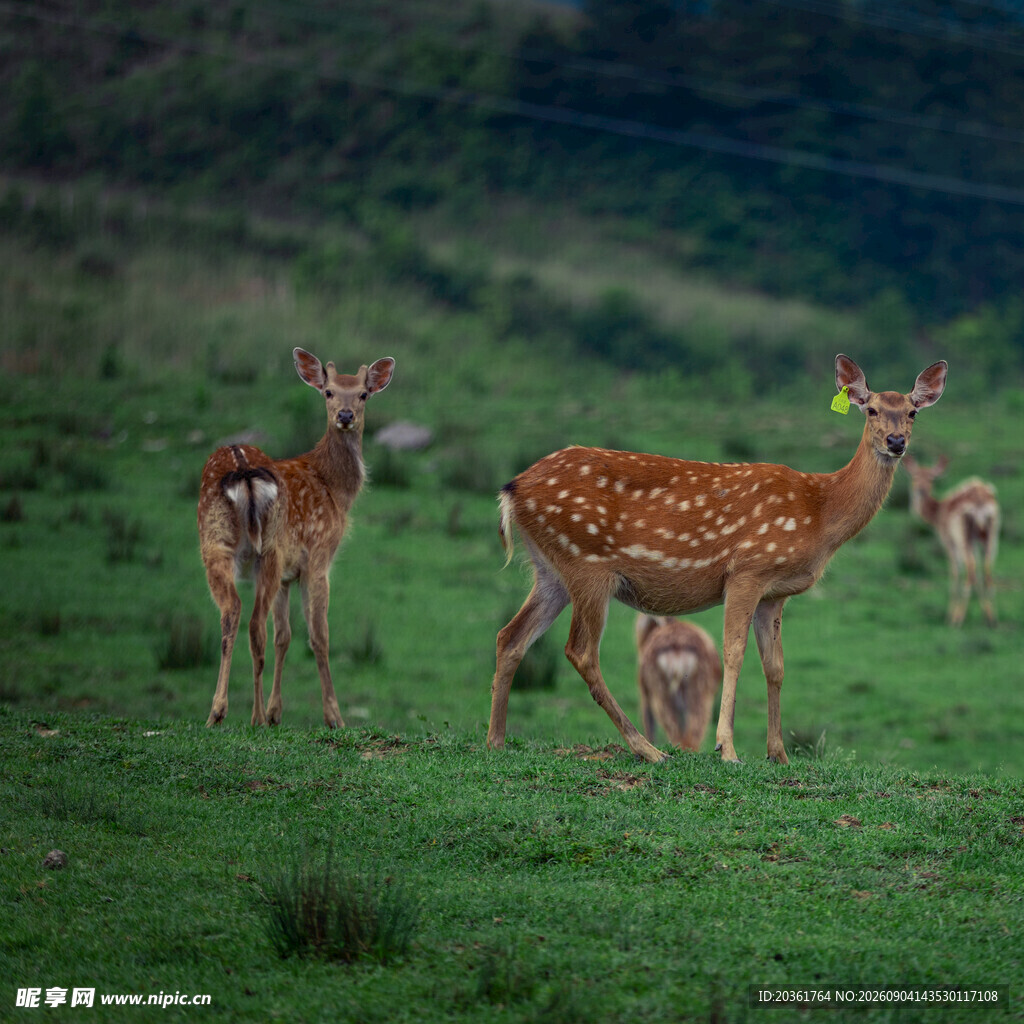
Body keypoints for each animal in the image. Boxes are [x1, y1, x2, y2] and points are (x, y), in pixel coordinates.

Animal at [198, 348, 395, 729]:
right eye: (329, 392)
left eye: (363, 394)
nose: (345, 415)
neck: (334, 488)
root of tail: (242, 469)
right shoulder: (318, 556)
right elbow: (319, 636)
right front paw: (334, 716)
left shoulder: (289, 575)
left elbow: (284, 636)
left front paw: (277, 712)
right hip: (269, 549)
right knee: (254, 624)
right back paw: (253, 716)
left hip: (215, 541)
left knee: (232, 612)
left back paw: (218, 712)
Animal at [902, 455, 999, 627]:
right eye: (915, 476)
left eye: (931, 478)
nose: (920, 490)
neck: (937, 516)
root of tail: (980, 503)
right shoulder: (975, 542)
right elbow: (978, 574)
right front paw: (985, 614)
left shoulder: (947, 540)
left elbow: (955, 571)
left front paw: (949, 616)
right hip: (991, 535)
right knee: (987, 570)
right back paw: (992, 619)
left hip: (961, 536)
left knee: (969, 569)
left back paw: (957, 619)